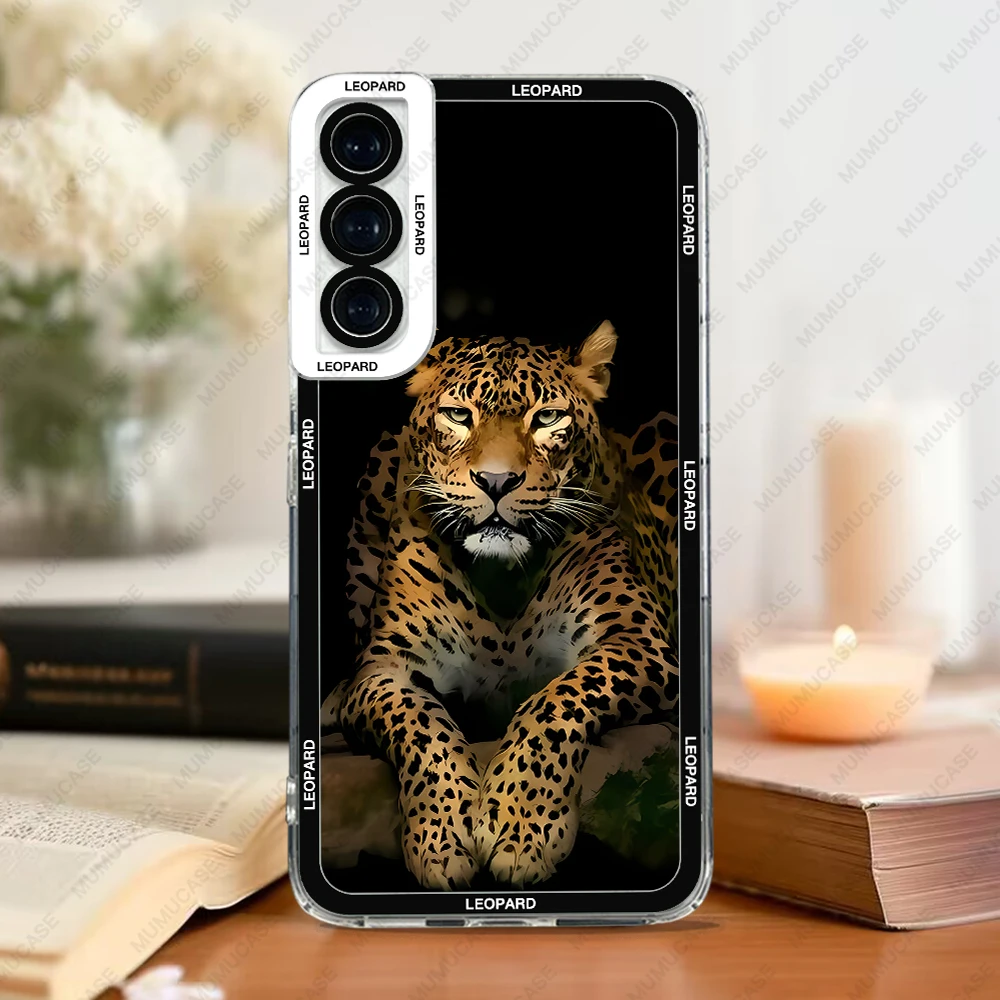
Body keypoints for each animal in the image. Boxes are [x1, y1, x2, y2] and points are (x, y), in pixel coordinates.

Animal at [327, 321, 680, 890]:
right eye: (458, 415)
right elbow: (421, 726)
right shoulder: (386, 668)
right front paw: (442, 837)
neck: (501, 579)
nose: (495, 482)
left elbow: (555, 701)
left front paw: (522, 827)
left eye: (548, 418)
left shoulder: (637, 639)